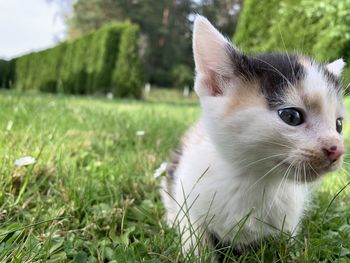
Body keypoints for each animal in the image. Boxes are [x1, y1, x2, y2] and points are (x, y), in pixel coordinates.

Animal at [161, 15, 344, 258]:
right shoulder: (188, 197)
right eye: (291, 116)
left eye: (339, 125)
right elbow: (195, 238)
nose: (337, 149)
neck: (255, 180)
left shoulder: (288, 222)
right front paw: (198, 253)